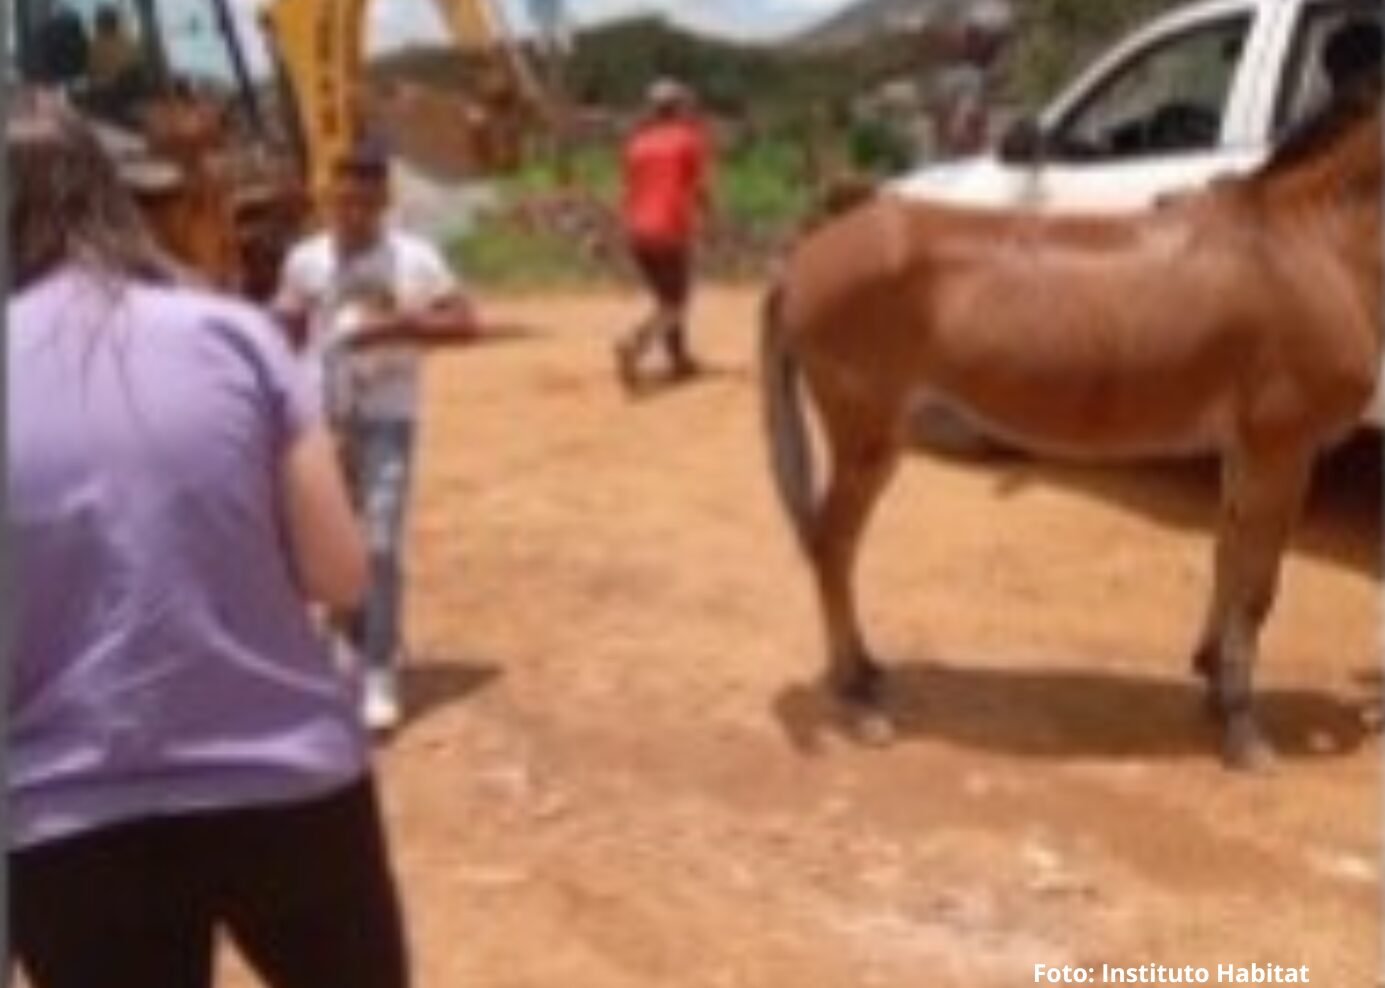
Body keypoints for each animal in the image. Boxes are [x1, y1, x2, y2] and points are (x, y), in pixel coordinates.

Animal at [764, 84, 1379, 764]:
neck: (1310, 244)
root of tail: (810, 248)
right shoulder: (1282, 446)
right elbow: (1258, 587)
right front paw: (1243, 730)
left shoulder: (1247, 449)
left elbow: (1230, 560)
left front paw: (1214, 685)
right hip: (866, 436)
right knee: (832, 547)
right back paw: (857, 699)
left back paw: (867, 673)